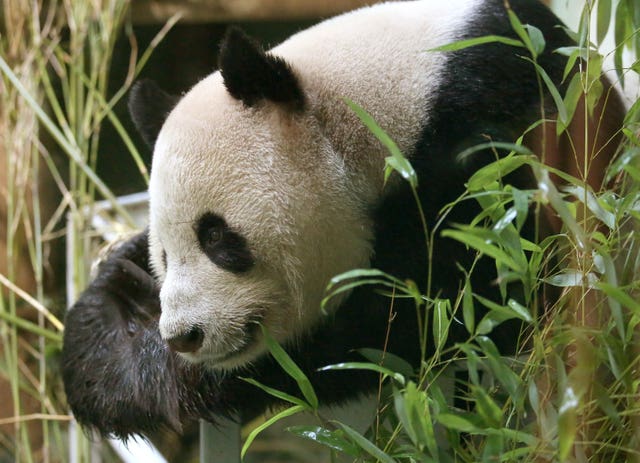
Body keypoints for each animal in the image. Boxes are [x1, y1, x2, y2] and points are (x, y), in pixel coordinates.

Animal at [60, 0, 620, 440]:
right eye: (164, 254)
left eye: (216, 235)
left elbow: (434, 306)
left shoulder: (495, 143)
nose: (183, 336)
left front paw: (146, 370)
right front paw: (119, 313)